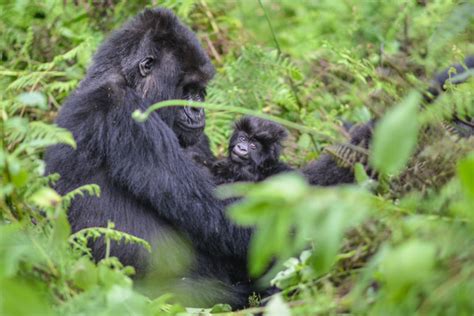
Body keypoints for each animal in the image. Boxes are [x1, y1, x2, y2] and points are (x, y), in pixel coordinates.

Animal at [45, 8, 256, 308]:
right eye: (187, 89)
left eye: (200, 90)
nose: (198, 110)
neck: (124, 78)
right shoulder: (127, 112)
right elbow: (211, 209)